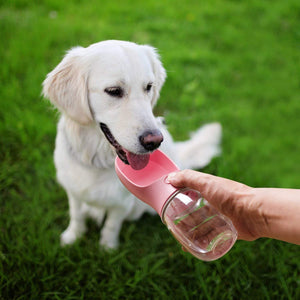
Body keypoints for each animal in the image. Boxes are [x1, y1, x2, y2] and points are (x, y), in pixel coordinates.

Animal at [42, 40, 221, 251]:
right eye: (113, 91)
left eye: (148, 87)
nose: (154, 141)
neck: (97, 160)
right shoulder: (73, 191)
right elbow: (76, 215)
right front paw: (72, 237)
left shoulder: (123, 203)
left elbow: (112, 225)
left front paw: (107, 248)